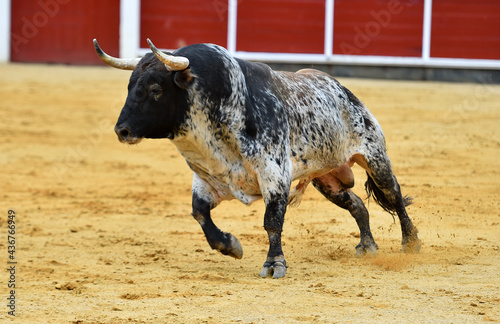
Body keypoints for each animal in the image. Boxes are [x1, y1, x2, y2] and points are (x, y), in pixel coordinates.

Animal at [94, 39, 422, 278]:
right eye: (129, 86)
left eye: (155, 89)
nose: (122, 130)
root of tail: (345, 92)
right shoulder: (208, 178)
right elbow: (200, 214)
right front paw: (231, 246)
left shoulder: (274, 174)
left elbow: (272, 222)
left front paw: (274, 265)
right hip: (326, 180)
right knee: (356, 205)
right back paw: (367, 245)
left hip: (375, 157)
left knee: (394, 195)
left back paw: (411, 243)